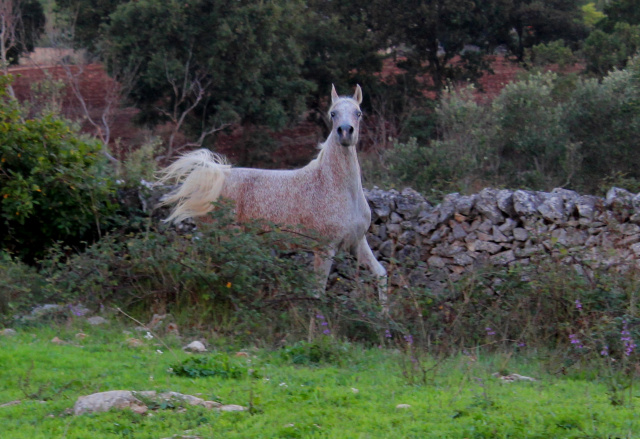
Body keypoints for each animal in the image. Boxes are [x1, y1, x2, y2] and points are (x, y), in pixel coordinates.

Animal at [158, 84, 388, 304]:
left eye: (358, 113)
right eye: (333, 113)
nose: (345, 132)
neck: (334, 186)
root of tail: (213, 179)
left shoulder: (357, 242)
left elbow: (381, 274)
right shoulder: (324, 248)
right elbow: (317, 293)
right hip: (225, 237)